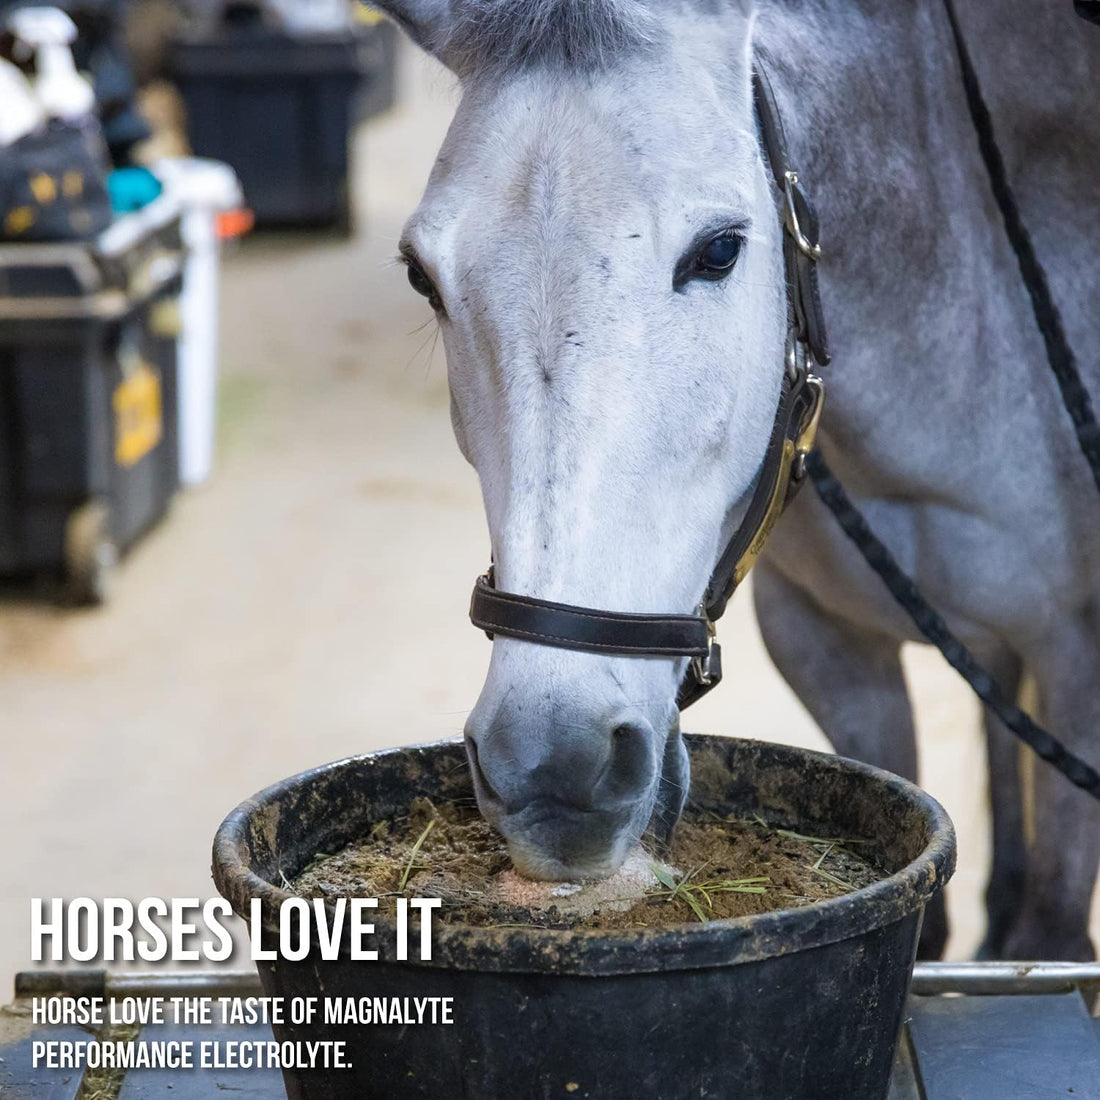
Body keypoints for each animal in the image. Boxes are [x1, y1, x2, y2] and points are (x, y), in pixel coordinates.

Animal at [370, 0, 1100, 960]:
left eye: (719, 250)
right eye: (422, 276)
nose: (554, 769)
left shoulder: (1077, 664)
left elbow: (1050, 932)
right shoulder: (830, 648)